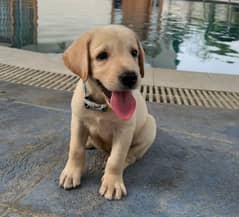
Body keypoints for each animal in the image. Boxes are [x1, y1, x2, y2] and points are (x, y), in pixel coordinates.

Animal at [59, 25, 157, 200]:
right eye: (102, 56)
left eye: (134, 53)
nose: (131, 77)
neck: (101, 105)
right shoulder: (78, 121)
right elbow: (75, 149)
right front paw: (71, 173)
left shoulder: (124, 130)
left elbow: (116, 159)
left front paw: (112, 183)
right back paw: (90, 142)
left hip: (150, 127)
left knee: (132, 155)